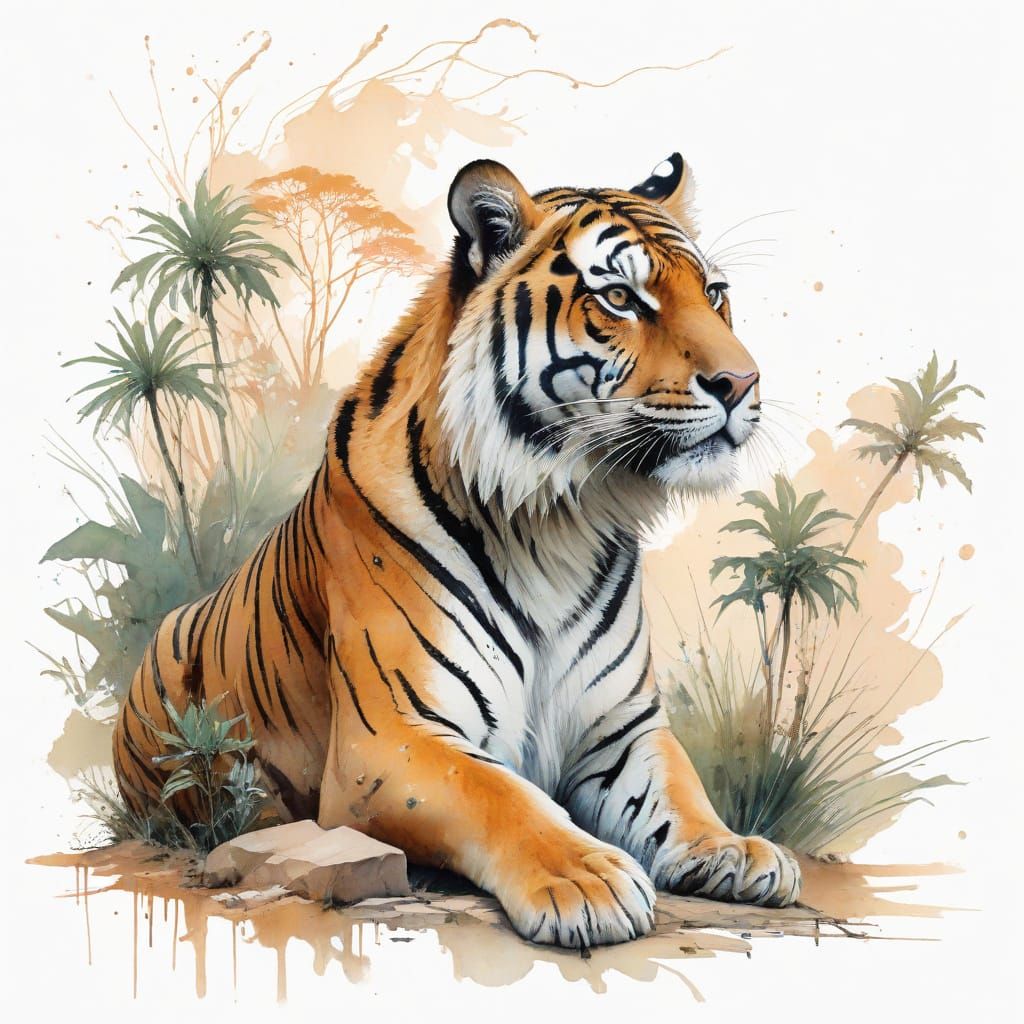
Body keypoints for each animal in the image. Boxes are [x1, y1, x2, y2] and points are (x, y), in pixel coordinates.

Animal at [113, 152, 801, 948]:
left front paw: (737, 849)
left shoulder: (621, 728)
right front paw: (585, 880)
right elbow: (501, 794)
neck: (562, 516)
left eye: (715, 294)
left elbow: (681, 791)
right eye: (621, 297)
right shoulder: (390, 740)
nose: (743, 383)